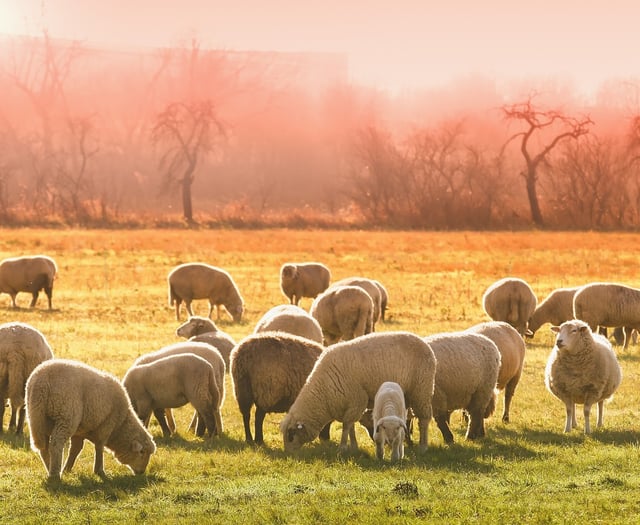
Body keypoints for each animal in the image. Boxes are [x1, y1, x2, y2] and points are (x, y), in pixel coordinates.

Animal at [25, 359, 156, 481]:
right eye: (142, 452)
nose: (141, 472)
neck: (121, 424)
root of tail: (42, 381)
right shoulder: (107, 424)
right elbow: (99, 446)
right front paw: (99, 471)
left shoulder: (79, 431)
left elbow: (75, 449)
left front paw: (67, 469)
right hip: (66, 415)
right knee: (56, 444)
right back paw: (55, 474)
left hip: (37, 416)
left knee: (43, 447)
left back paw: (50, 468)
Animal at [280, 331, 437, 454]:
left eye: (291, 435)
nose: (288, 454)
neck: (324, 391)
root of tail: (426, 345)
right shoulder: (349, 404)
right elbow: (350, 427)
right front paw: (353, 447)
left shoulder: (357, 400)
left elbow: (346, 426)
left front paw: (343, 448)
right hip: (407, 395)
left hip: (421, 390)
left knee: (424, 419)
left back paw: (423, 447)